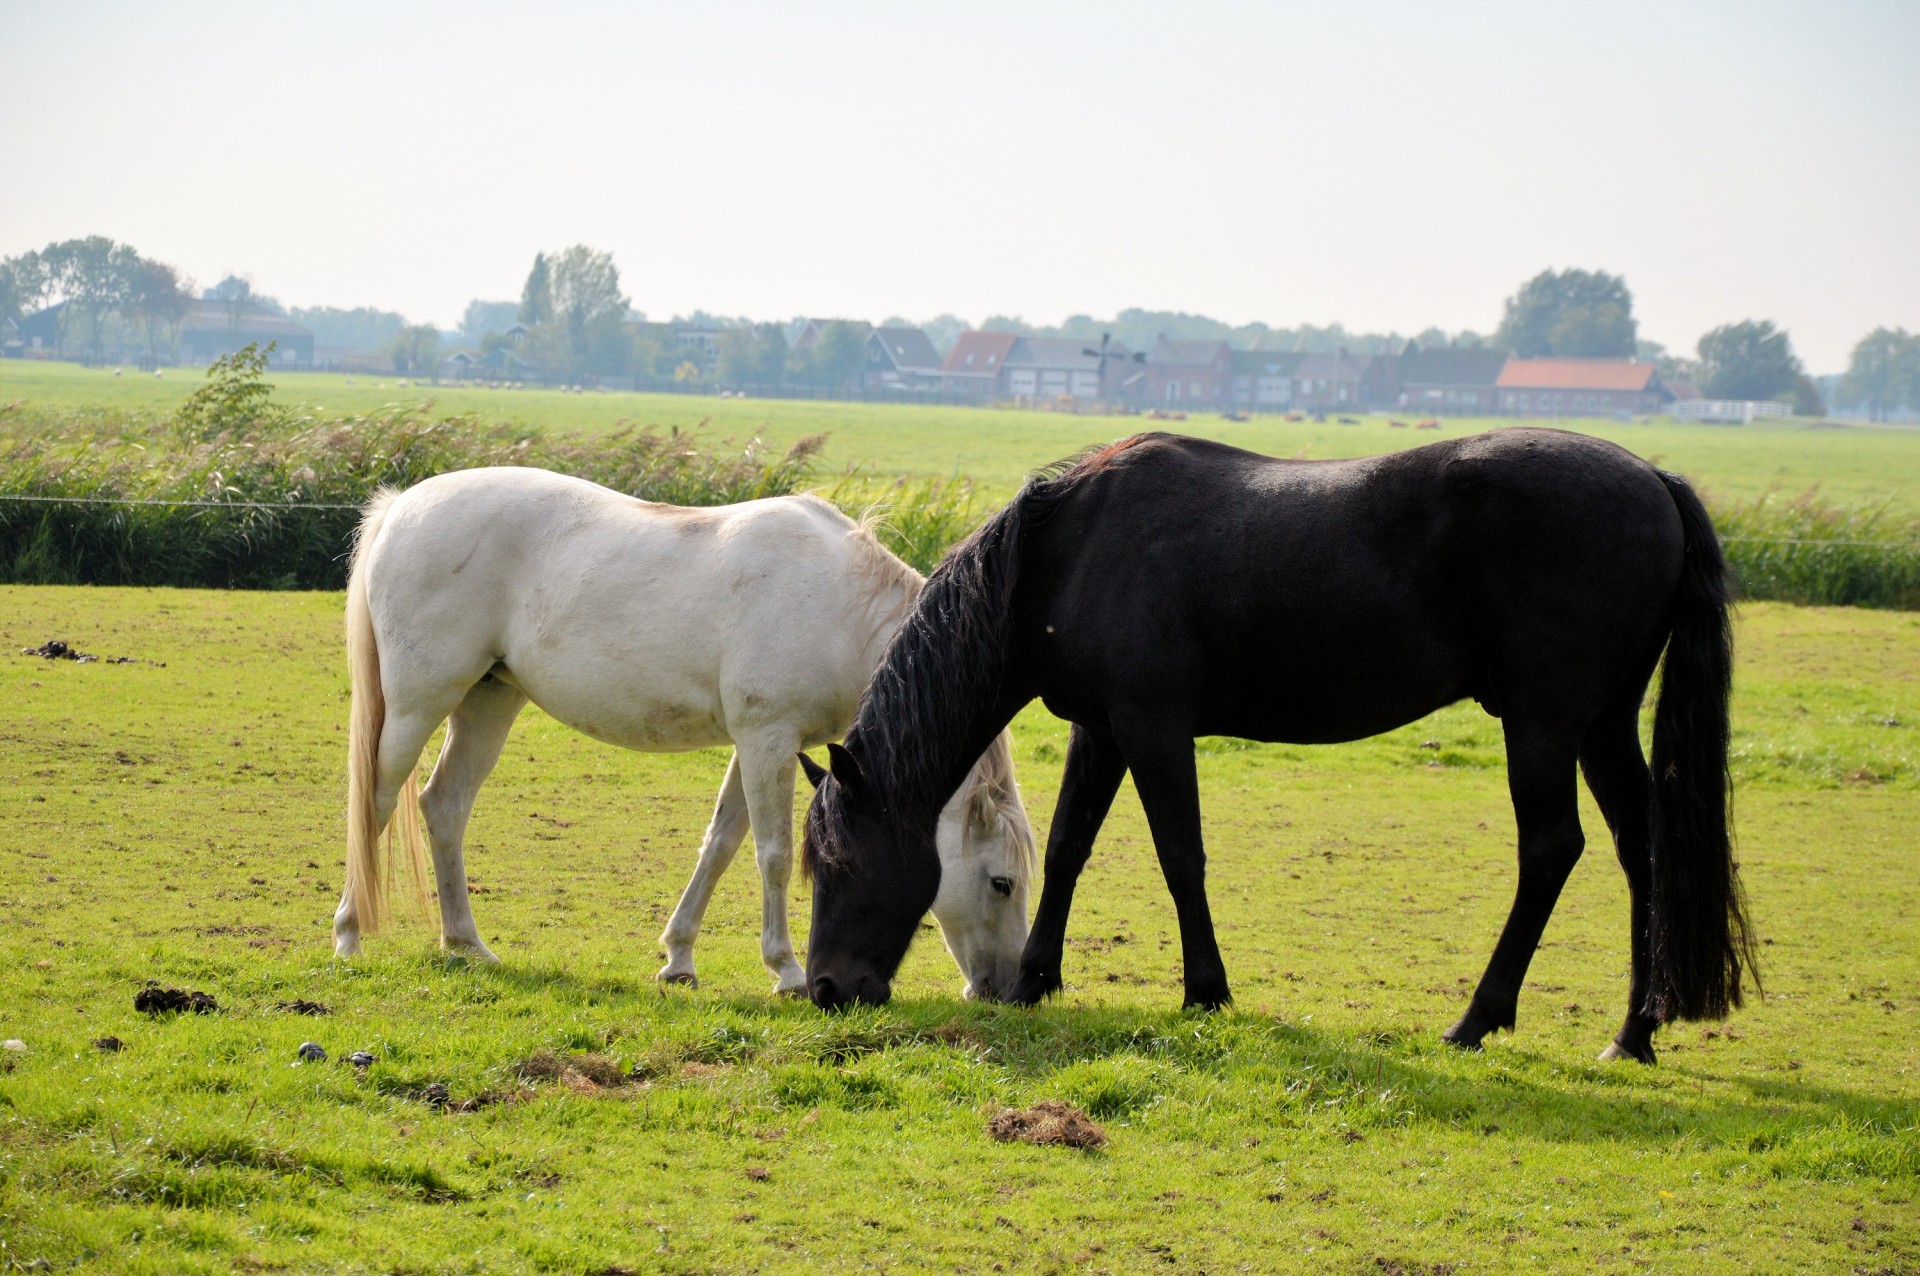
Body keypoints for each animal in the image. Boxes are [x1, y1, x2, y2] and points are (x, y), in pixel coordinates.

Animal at [337, 468, 1044, 997]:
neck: (839, 605)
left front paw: (678, 959)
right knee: (376, 802)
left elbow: (721, 844)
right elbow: (772, 854)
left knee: (445, 806)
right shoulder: (766, 739)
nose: (1001, 989)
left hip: (489, 701)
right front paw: (786, 971)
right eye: (1001, 883)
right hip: (417, 704)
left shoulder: (763, 745)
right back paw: (349, 935)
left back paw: (467, 945)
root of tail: (402, 507)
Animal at [794, 427, 1758, 1051]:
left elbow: (1180, 856)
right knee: (1642, 847)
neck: (1064, 553)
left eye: (844, 863)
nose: (827, 989)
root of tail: (1655, 479)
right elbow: (1070, 848)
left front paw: (1205, 992)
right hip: (1602, 724)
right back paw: (1634, 1031)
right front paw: (1036, 982)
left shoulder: (1153, 727)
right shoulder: (1102, 730)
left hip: (1544, 725)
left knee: (1551, 850)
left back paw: (1478, 1019)